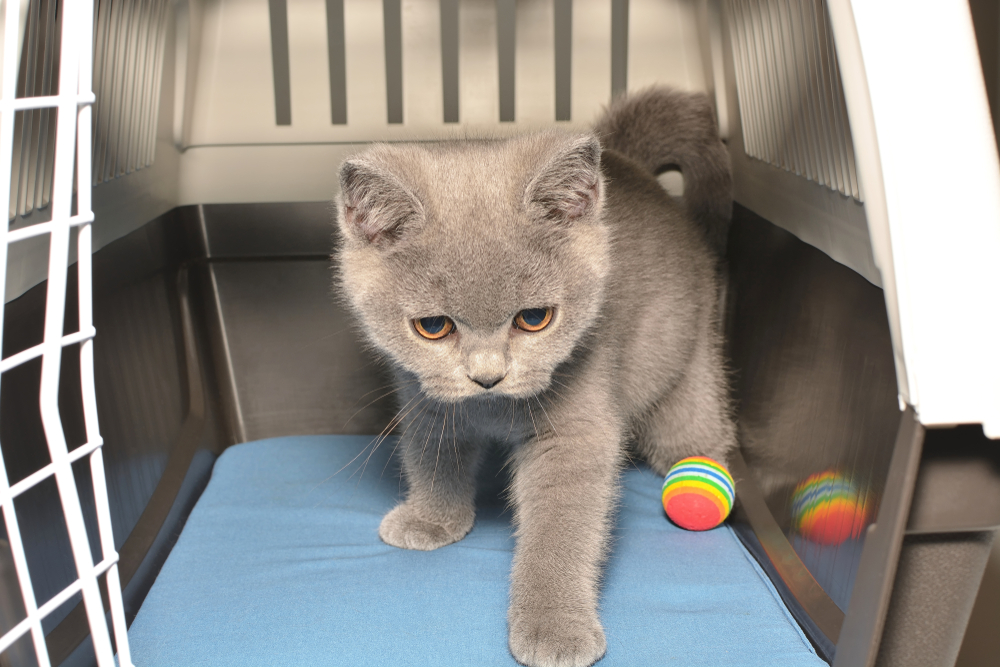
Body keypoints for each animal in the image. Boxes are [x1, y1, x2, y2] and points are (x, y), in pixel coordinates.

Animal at [336, 88, 736, 667]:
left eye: (534, 318)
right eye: (432, 326)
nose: (487, 376)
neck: (490, 409)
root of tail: (629, 163)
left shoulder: (575, 429)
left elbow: (559, 528)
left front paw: (553, 627)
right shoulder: (425, 400)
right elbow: (431, 455)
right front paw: (431, 518)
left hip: (689, 362)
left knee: (697, 425)